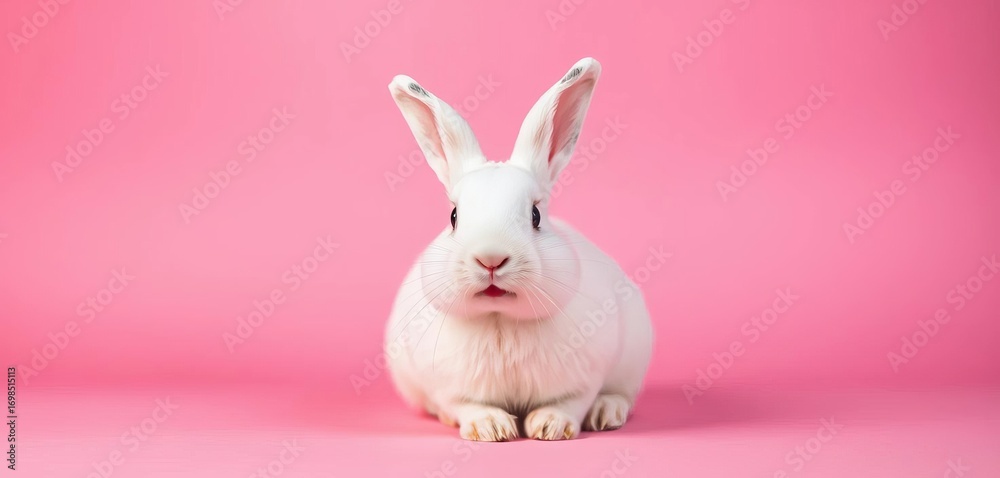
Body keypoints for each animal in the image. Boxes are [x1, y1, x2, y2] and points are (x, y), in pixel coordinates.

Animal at [384, 58, 653, 441]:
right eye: (453, 217)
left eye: (536, 215)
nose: (491, 259)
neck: (500, 321)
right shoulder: (448, 390)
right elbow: (465, 406)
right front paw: (491, 428)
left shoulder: (584, 381)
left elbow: (571, 403)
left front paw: (551, 426)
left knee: (620, 396)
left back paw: (607, 413)